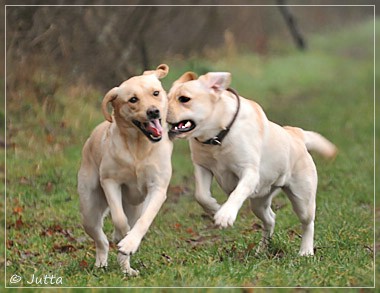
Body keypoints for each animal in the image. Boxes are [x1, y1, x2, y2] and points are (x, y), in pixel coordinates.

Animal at [77, 64, 172, 274]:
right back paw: (101, 263)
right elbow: (119, 218)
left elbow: (144, 220)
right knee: (101, 240)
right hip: (89, 208)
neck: (139, 147)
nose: (153, 112)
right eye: (133, 99)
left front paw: (129, 243)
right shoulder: (110, 182)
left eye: (155, 93)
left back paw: (126, 268)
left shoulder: (158, 188)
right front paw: (121, 236)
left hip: (135, 207)